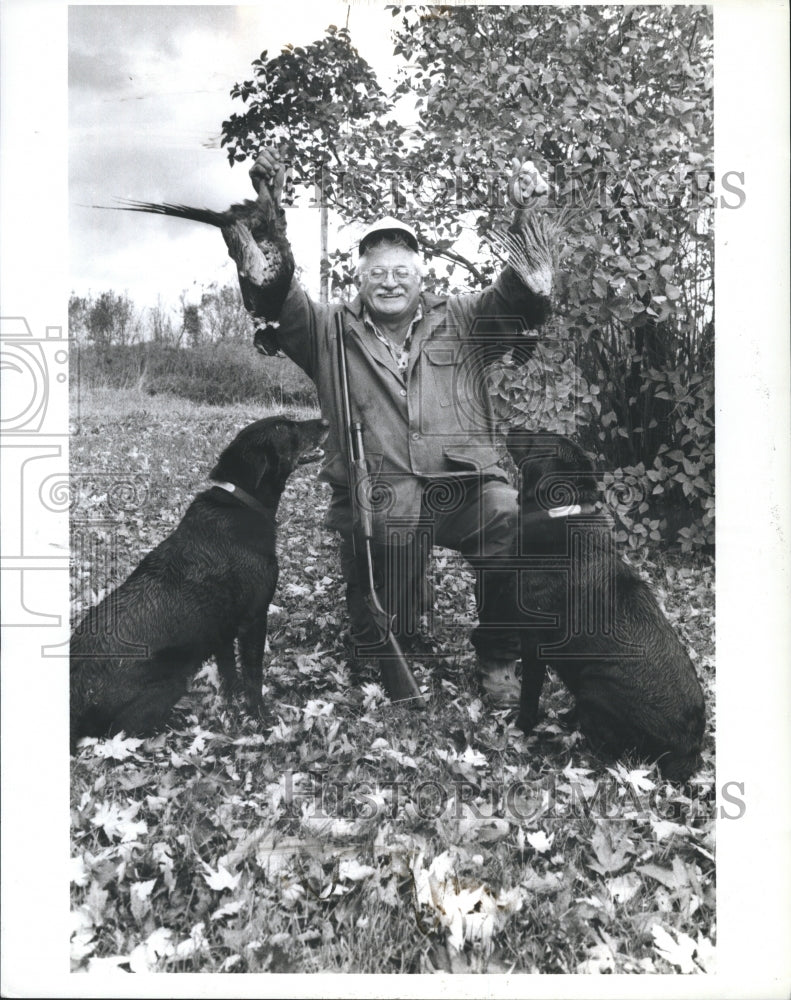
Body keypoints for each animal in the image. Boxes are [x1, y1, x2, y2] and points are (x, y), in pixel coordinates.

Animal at [68, 414, 328, 752]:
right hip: (172, 678)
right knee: (121, 731)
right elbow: (253, 676)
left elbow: (229, 672)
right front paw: (260, 717)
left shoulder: (222, 629)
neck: (241, 502)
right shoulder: (254, 619)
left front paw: (230, 704)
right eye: (285, 427)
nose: (325, 421)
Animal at [508, 430, 704, 780]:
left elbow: (528, 694)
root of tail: (689, 751)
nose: (507, 427)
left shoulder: (532, 641)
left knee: (610, 755)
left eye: (536, 437)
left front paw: (521, 729)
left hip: (594, 686)